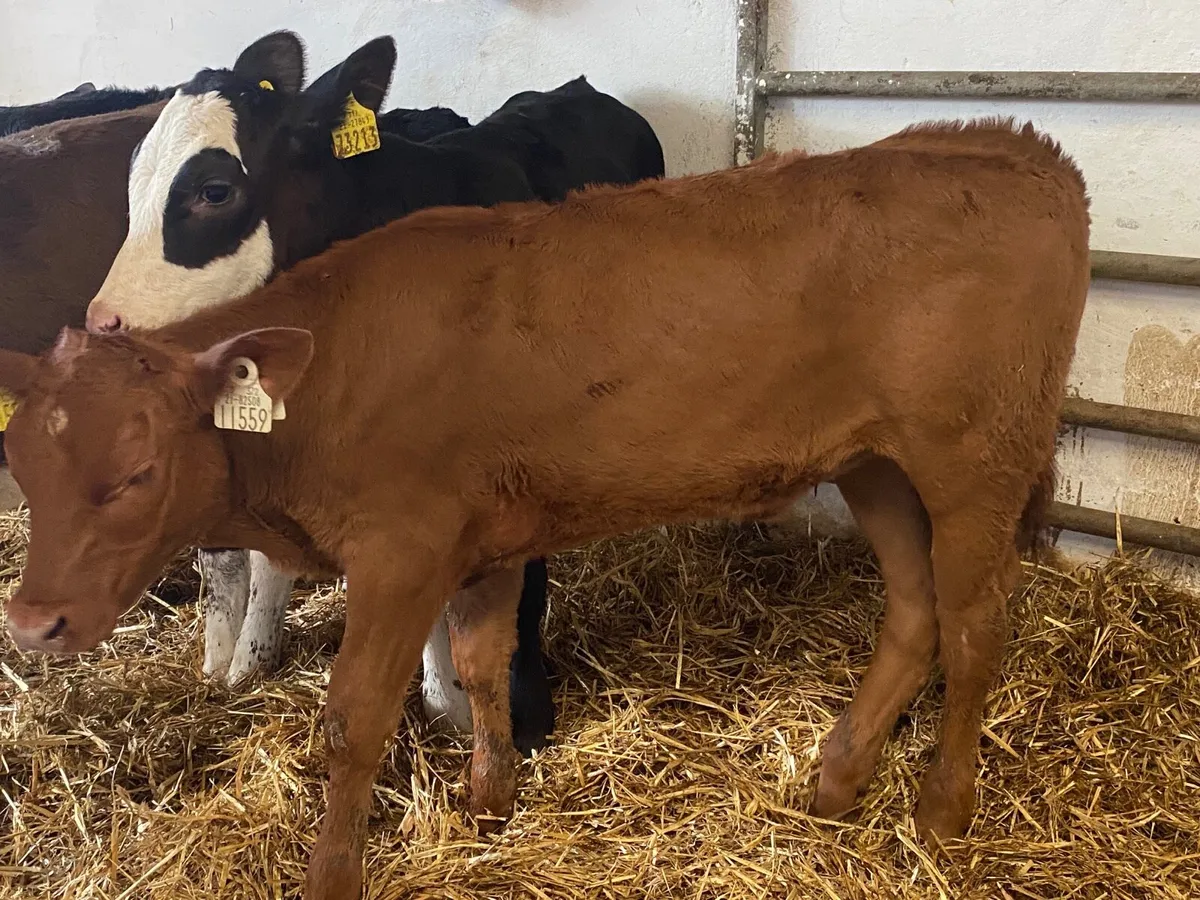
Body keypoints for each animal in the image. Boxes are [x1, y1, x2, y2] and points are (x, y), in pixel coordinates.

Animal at [0, 117, 1089, 898]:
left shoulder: (402, 551)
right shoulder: (485, 537)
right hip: (878, 464)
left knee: (977, 623)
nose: (33, 619)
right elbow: (484, 665)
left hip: (972, 460)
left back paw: (942, 810)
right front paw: (489, 803)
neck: (332, 364)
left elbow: (355, 722)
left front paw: (333, 875)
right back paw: (835, 785)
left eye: (138, 471)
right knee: (914, 612)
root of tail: (1011, 145)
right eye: (24, 464)